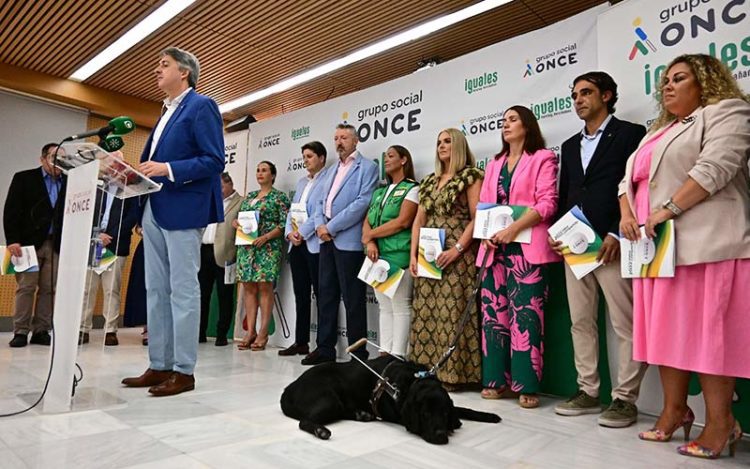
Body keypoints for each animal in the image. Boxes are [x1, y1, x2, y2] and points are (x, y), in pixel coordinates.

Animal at [280, 354, 502, 442]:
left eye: (444, 412)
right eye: (425, 414)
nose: (440, 435)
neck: (411, 381)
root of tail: (288, 388)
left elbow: (464, 409)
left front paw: (488, 416)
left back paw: (362, 414)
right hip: (329, 400)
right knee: (304, 421)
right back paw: (321, 430)